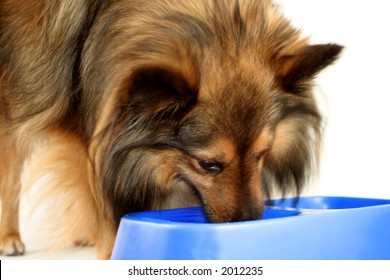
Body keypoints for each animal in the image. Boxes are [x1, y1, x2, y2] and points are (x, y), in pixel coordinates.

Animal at [0, 0, 342, 260]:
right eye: (208, 165)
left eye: (262, 155)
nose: (246, 222)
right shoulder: (89, 133)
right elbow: (99, 192)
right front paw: (113, 249)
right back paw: (10, 238)